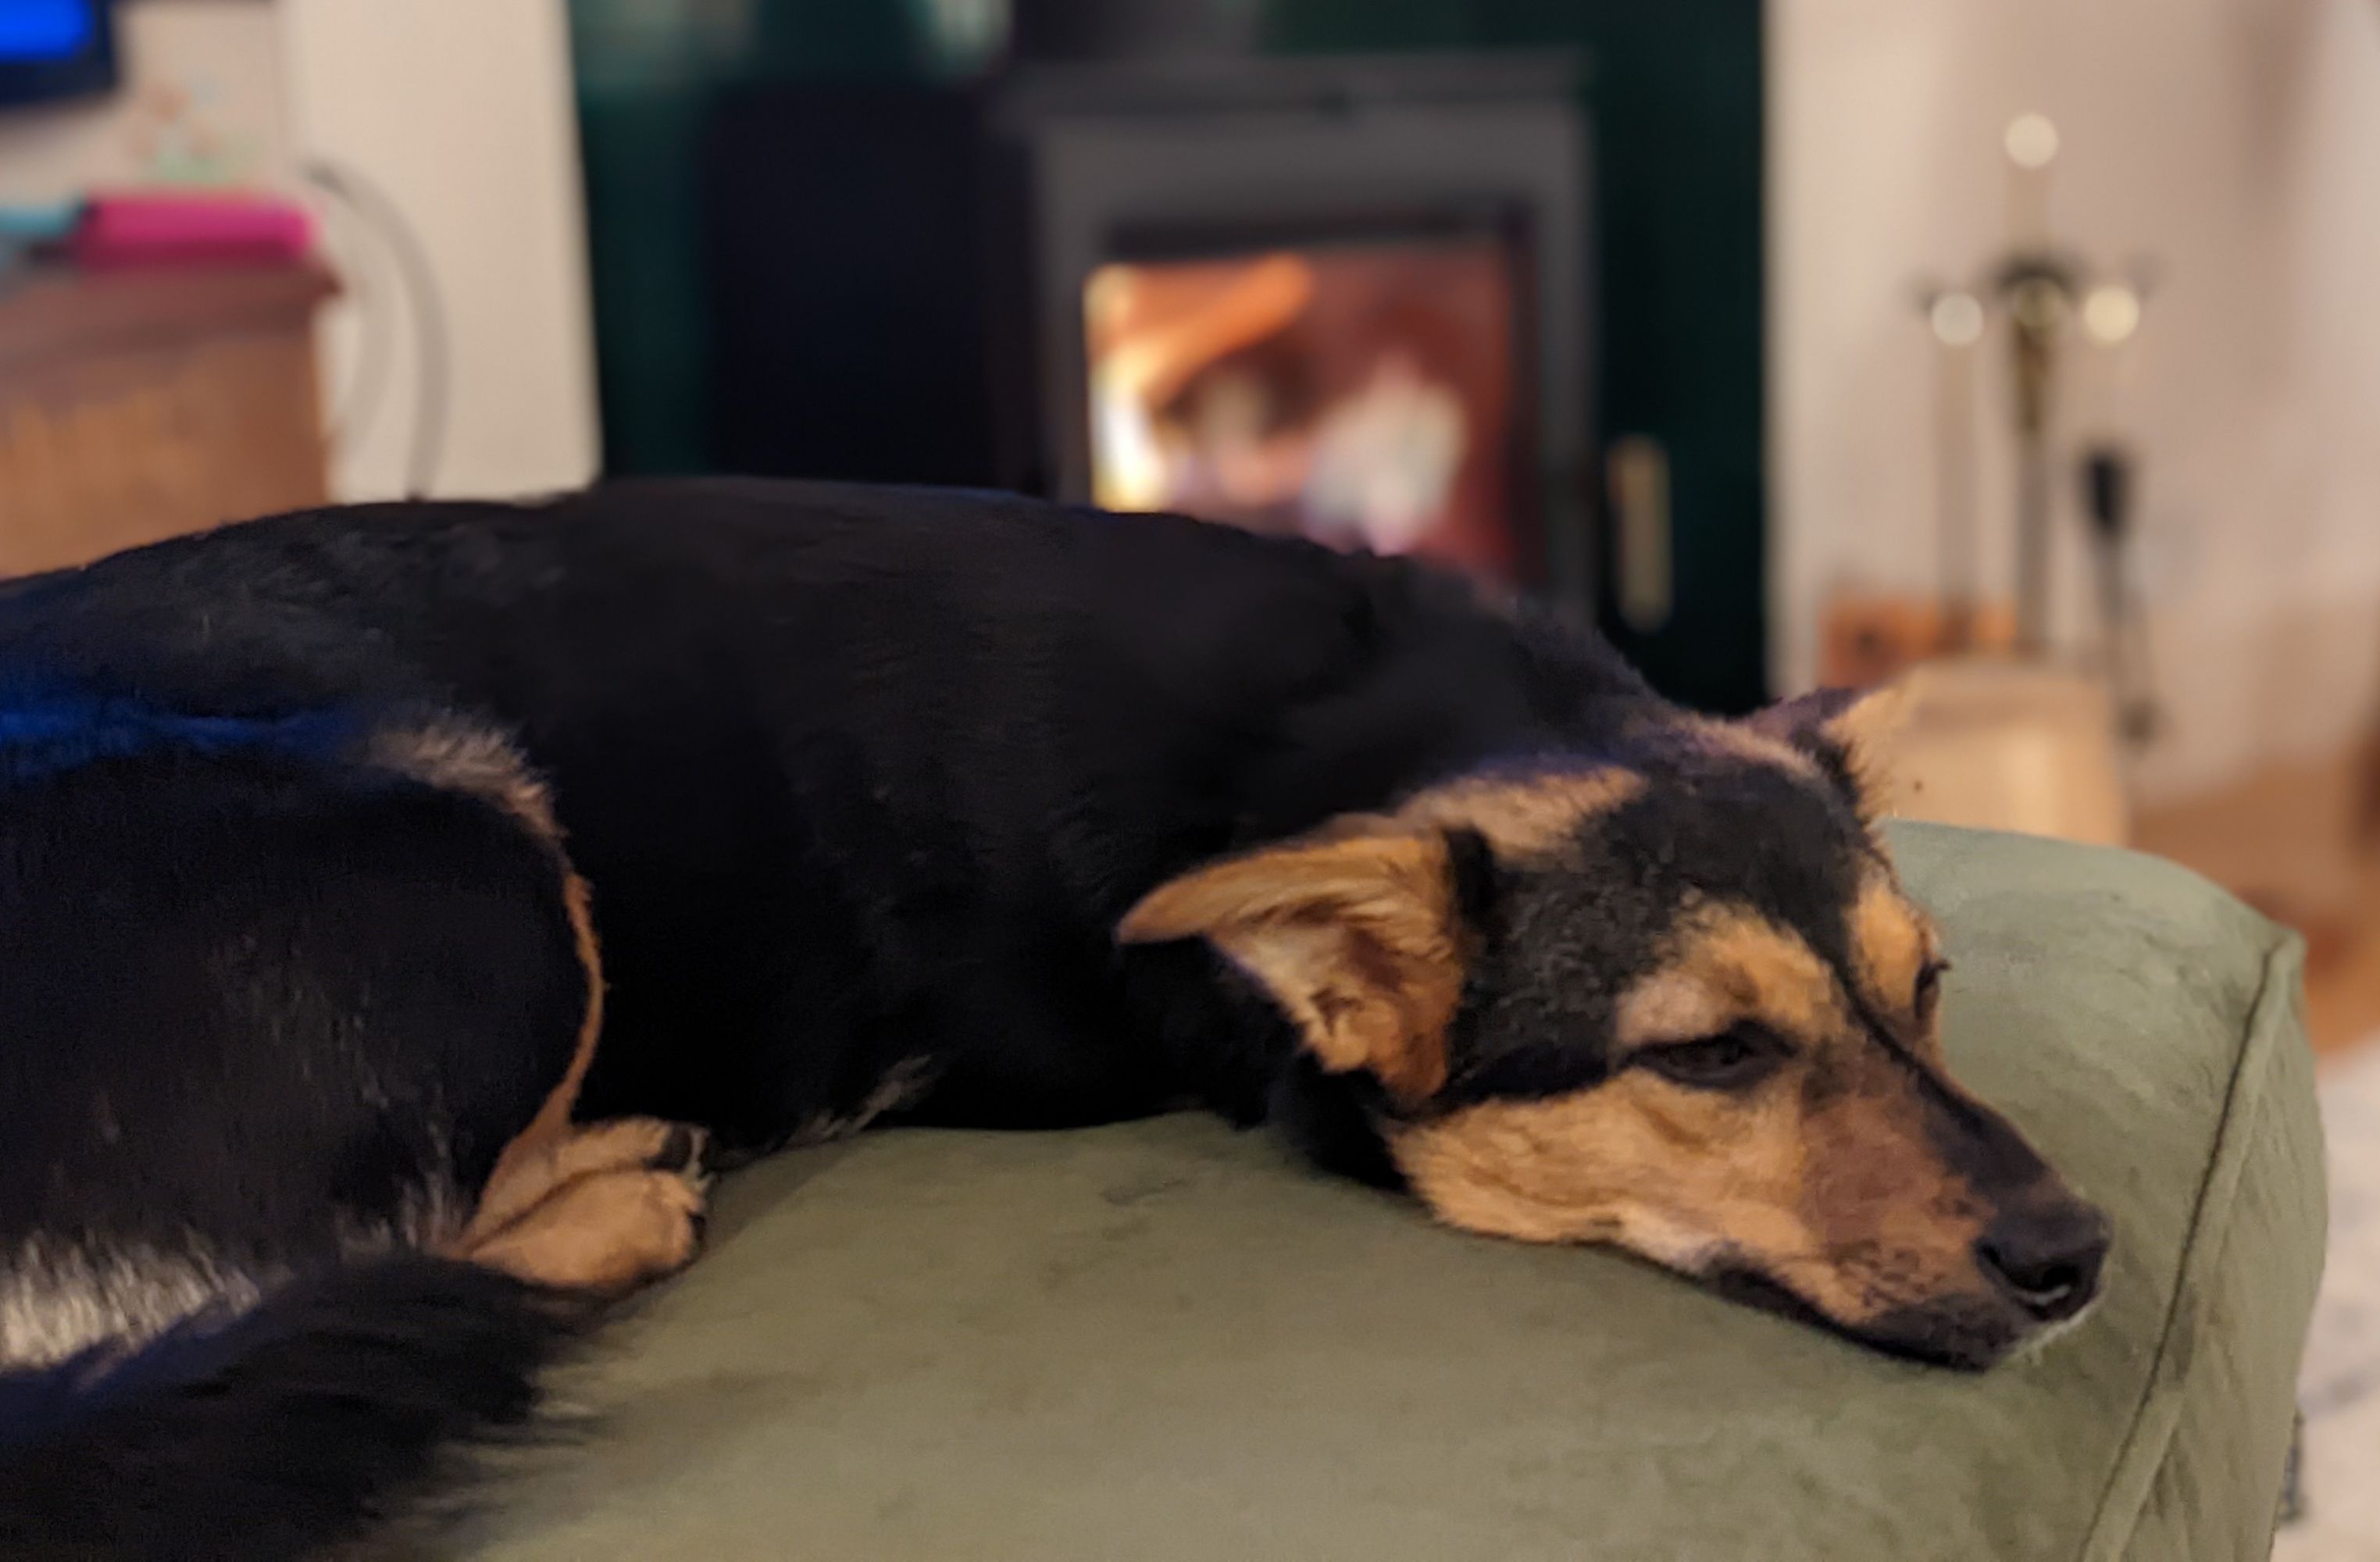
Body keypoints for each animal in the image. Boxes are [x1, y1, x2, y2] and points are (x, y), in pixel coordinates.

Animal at [0, 480, 2113, 1552]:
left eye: (1927, 991)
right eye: (1712, 1054)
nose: (2077, 1256)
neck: (1330, 737)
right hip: (464, 842)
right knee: (365, 1256)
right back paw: (609, 1185)